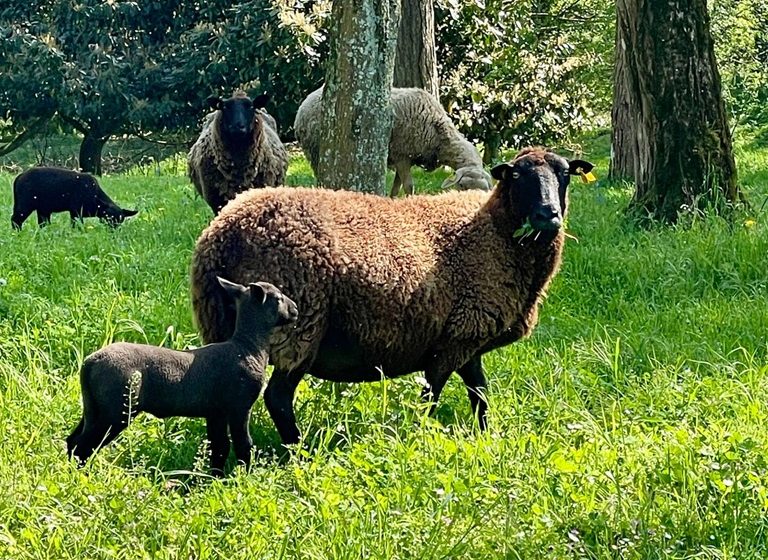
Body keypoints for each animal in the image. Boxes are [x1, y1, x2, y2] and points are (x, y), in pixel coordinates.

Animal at [65, 278, 296, 474]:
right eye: (278, 298)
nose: (295, 309)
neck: (247, 346)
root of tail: (91, 361)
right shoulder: (239, 406)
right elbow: (243, 445)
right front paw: (244, 476)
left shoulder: (216, 412)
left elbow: (219, 447)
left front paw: (215, 479)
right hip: (116, 410)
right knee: (83, 445)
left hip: (94, 407)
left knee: (72, 441)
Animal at [190, 147, 592, 444]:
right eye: (517, 175)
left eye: (564, 174)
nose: (548, 215)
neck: (493, 231)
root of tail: (221, 232)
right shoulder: (452, 341)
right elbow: (431, 396)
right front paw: (422, 438)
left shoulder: (468, 336)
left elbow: (479, 394)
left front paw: (484, 438)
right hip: (298, 327)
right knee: (278, 397)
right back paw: (298, 450)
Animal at [294, 84, 492, 196]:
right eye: (462, 186)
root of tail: (303, 105)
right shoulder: (402, 155)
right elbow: (409, 187)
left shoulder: (403, 159)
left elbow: (396, 188)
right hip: (314, 150)